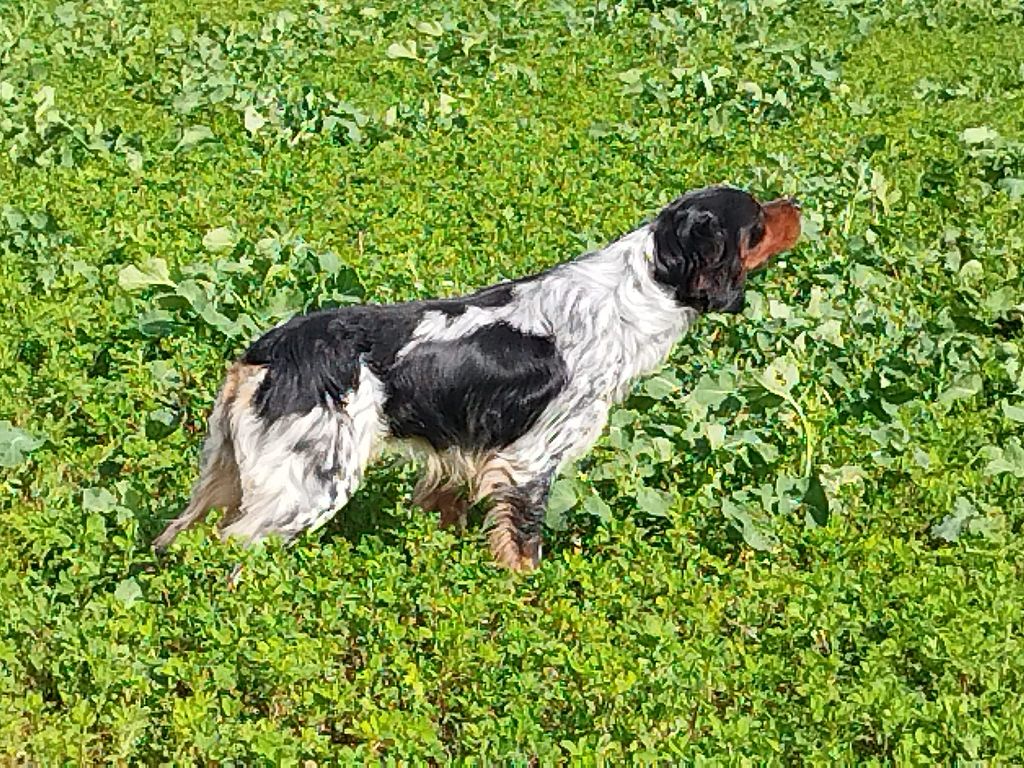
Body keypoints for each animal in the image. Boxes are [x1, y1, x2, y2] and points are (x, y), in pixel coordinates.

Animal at [151, 186, 798, 573]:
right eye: (757, 217)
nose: (795, 202)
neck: (634, 294)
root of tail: (267, 352)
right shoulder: (530, 463)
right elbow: (524, 550)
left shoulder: (460, 460)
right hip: (311, 484)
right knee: (233, 550)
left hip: (229, 474)